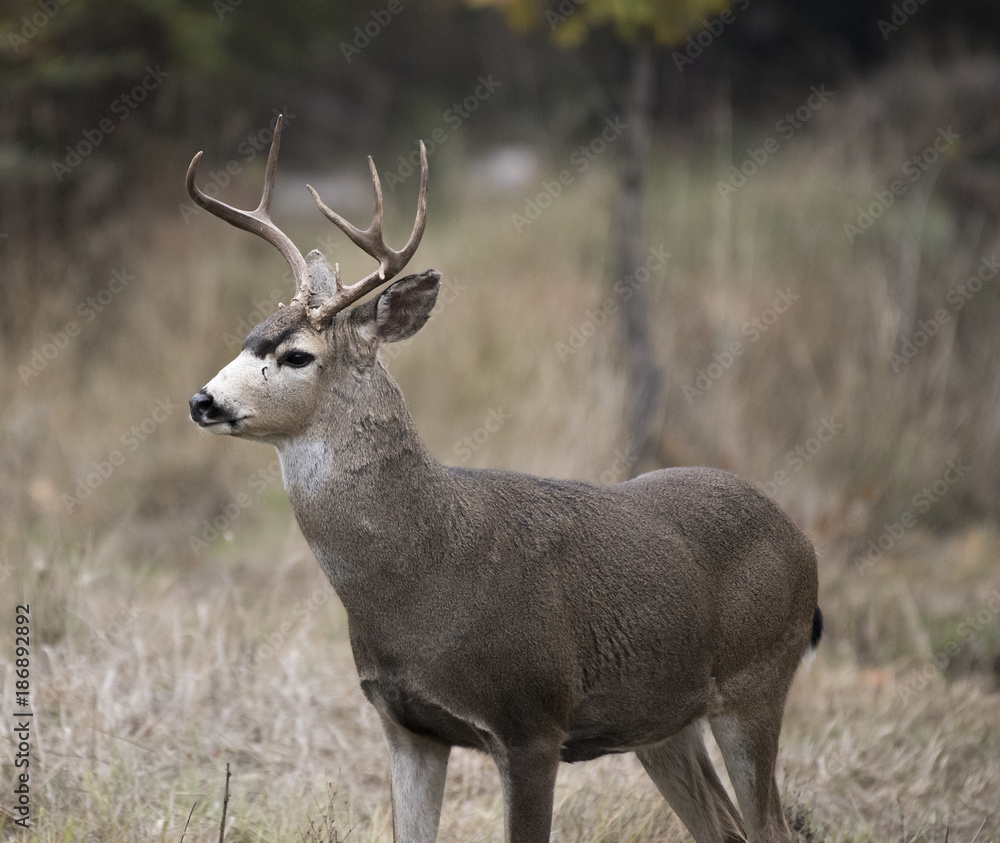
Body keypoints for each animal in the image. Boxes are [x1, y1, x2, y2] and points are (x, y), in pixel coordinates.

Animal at [187, 115, 821, 843]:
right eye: (248, 336)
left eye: (296, 355)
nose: (203, 400)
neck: (425, 567)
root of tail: (802, 541)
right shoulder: (407, 726)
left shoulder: (530, 718)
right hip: (663, 719)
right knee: (723, 825)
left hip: (756, 679)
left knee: (770, 826)